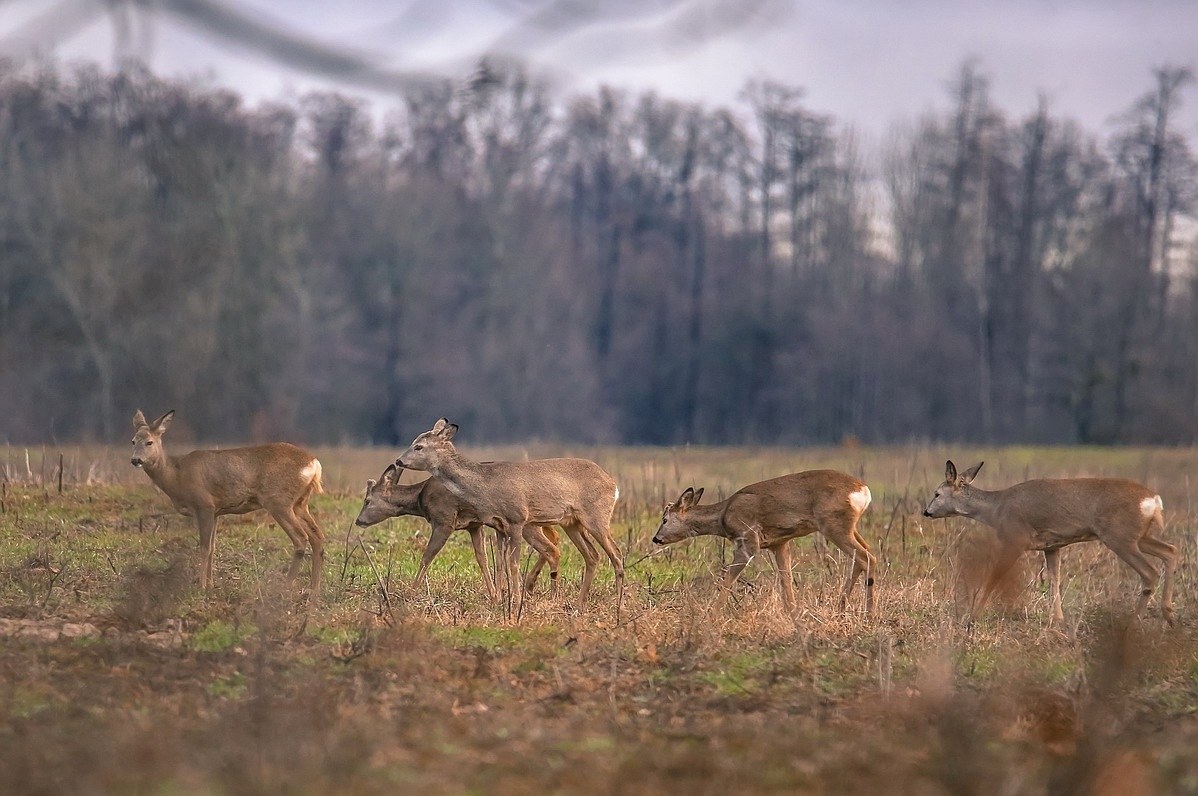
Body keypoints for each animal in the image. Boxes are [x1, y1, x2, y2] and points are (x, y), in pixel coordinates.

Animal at [130, 409, 325, 597]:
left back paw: (285, 588)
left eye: (149, 442)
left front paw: (201, 587)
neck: (177, 475)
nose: (135, 460)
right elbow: (213, 547)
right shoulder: (216, 511)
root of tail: (314, 463)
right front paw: (210, 584)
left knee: (301, 539)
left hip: (278, 501)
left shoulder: (204, 505)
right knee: (317, 536)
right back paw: (314, 590)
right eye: (133, 441)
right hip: (299, 503)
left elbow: (204, 548)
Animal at [352, 460, 563, 597]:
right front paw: (494, 595)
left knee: (551, 547)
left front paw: (410, 592)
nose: (358, 521)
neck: (420, 498)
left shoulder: (444, 520)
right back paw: (530, 585)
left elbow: (427, 557)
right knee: (554, 538)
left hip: (526, 523)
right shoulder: (474, 525)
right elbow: (482, 559)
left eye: (367, 500)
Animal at [400, 419, 632, 611]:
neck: (487, 485)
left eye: (419, 446)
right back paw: (579, 603)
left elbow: (513, 564)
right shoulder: (499, 525)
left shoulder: (517, 519)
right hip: (572, 523)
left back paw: (619, 605)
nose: (400, 461)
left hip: (597, 517)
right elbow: (500, 564)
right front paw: (501, 599)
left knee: (616, 553)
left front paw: (516, 600)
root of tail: (613, 484)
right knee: (592, 555)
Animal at [651, 472, 876, 613]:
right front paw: (794, 616)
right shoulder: (780, 544)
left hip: (834, 525)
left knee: (866, 557)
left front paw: (712, 615)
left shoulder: (748, 540)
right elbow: (786, 582)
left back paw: (868, 614)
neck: (723, 515)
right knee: (865, 552)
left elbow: (727, 581)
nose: (656, 538)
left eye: (665, 519)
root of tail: (863, 490)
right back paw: (841, 608)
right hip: (849, 528)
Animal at [920, 462, 1174, 623]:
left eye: (936, 494)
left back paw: (1134, 623)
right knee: (1171, 551)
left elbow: (994, 577)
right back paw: (1168, 615)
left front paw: (971, 620)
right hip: (1139, 536)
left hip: (1120, 537)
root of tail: (1153, 500)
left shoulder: (1015, 538)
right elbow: (1054, 582)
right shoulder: (1053, 546)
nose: (926, 512)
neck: (998, 508)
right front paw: (1058, 623)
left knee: (1150, 572)